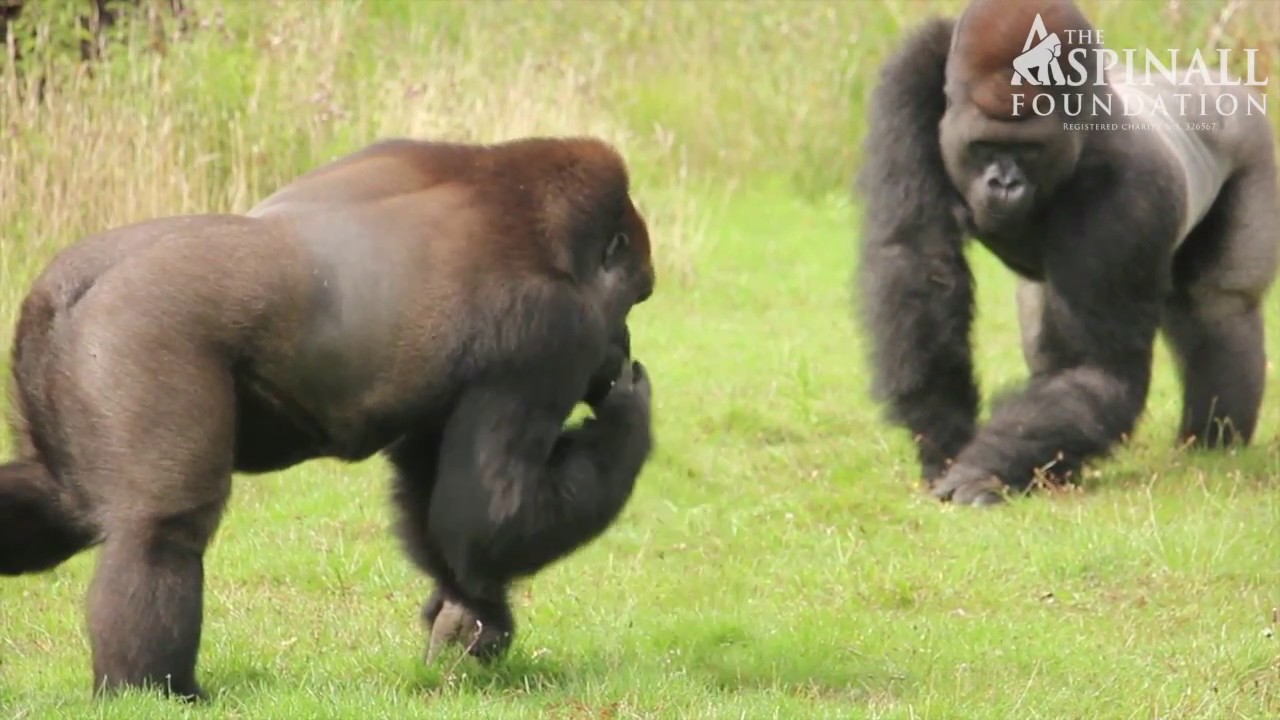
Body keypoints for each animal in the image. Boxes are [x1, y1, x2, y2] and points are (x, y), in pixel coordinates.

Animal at [0, 135, 656, 701]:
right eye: (635, 296)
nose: (622, 344)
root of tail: (76, 285)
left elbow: (445, 510)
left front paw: (474, 612)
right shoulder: (553, 330)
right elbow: (489, 514)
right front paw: (629, 414)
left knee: (62, 503)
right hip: (139, 331)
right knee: (160, 529)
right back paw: (153, 689)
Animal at [855, 0, 1279, 506]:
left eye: (1029, 150)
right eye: (984, 146)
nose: (1004, 184)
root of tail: (1216, 80)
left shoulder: (1129, 187)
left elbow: (1096, 366)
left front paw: (983, 468)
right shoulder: (911, 76)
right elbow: (917, 259)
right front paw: (944, 434)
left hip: (1251, 140)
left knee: (1219, 306)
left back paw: (1213, 441)